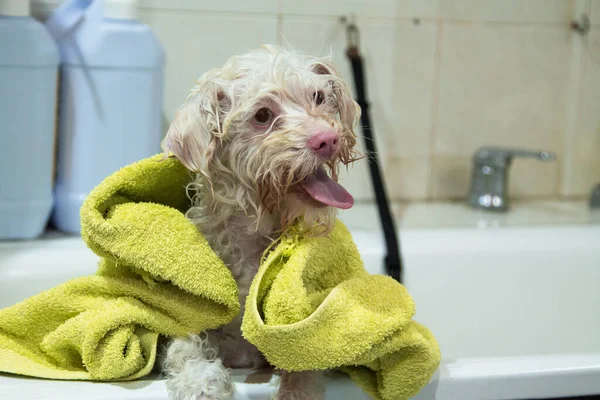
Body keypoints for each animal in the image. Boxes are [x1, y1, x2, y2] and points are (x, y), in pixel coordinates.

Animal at [159, 44, 360, 400]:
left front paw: (297, 389)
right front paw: (201, 381)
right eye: (263, 115)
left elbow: (306, 355)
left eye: (319, 97)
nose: (328, 139)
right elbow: (184, 345)